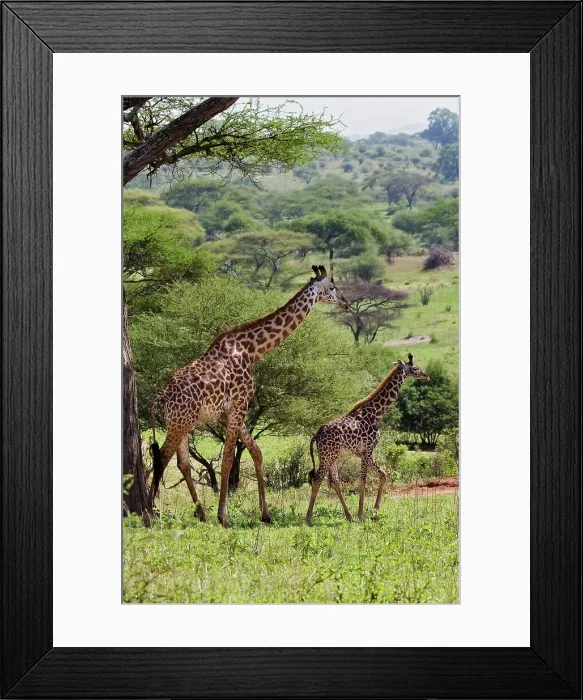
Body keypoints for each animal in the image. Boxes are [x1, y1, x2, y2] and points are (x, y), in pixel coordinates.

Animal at [149, 265, 348, 527]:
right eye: (332, 287)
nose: (346, 303)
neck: (253, 351)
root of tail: (162, 396)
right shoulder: (239, 404)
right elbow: (227, 460)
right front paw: (224, 517)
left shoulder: (227, 412)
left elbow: (256, 451)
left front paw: (266, 514)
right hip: (180, 421)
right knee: (162, 457)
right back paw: (150, 512)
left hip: (182, 422)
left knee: (181, 463)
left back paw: (200, 514)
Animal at [305, 354, 430, 525]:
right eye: (415, 368)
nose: (426, 376)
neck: (376, 414)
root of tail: (317, 434)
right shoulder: (368, 449)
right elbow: (363, 480)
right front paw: (362, 515)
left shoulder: (364, 452)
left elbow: (383, 474)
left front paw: (375, 511)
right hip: (326, 456)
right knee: (317, 480)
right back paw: (309, 519)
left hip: (333, 457)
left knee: (335, 482)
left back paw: (348, 516)